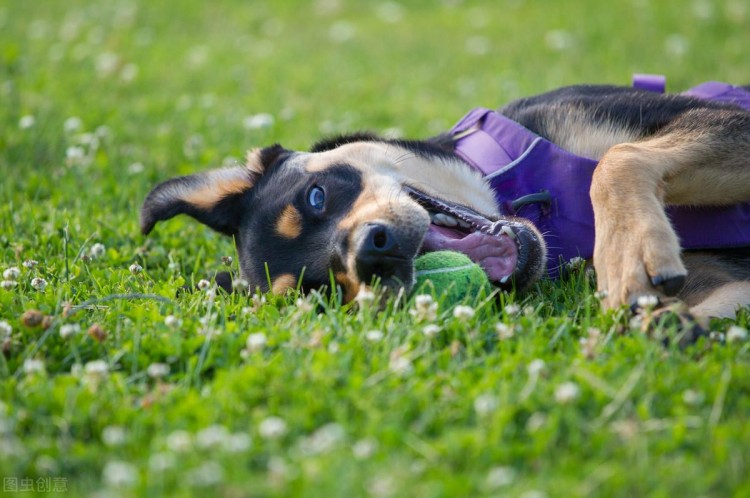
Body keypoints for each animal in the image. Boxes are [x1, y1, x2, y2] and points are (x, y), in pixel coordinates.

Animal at [141, 80, 750, 320]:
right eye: (324, 291)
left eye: (316, 197)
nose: (373, 252)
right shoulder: (724, 280)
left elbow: (614, 160)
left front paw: (627, 255)